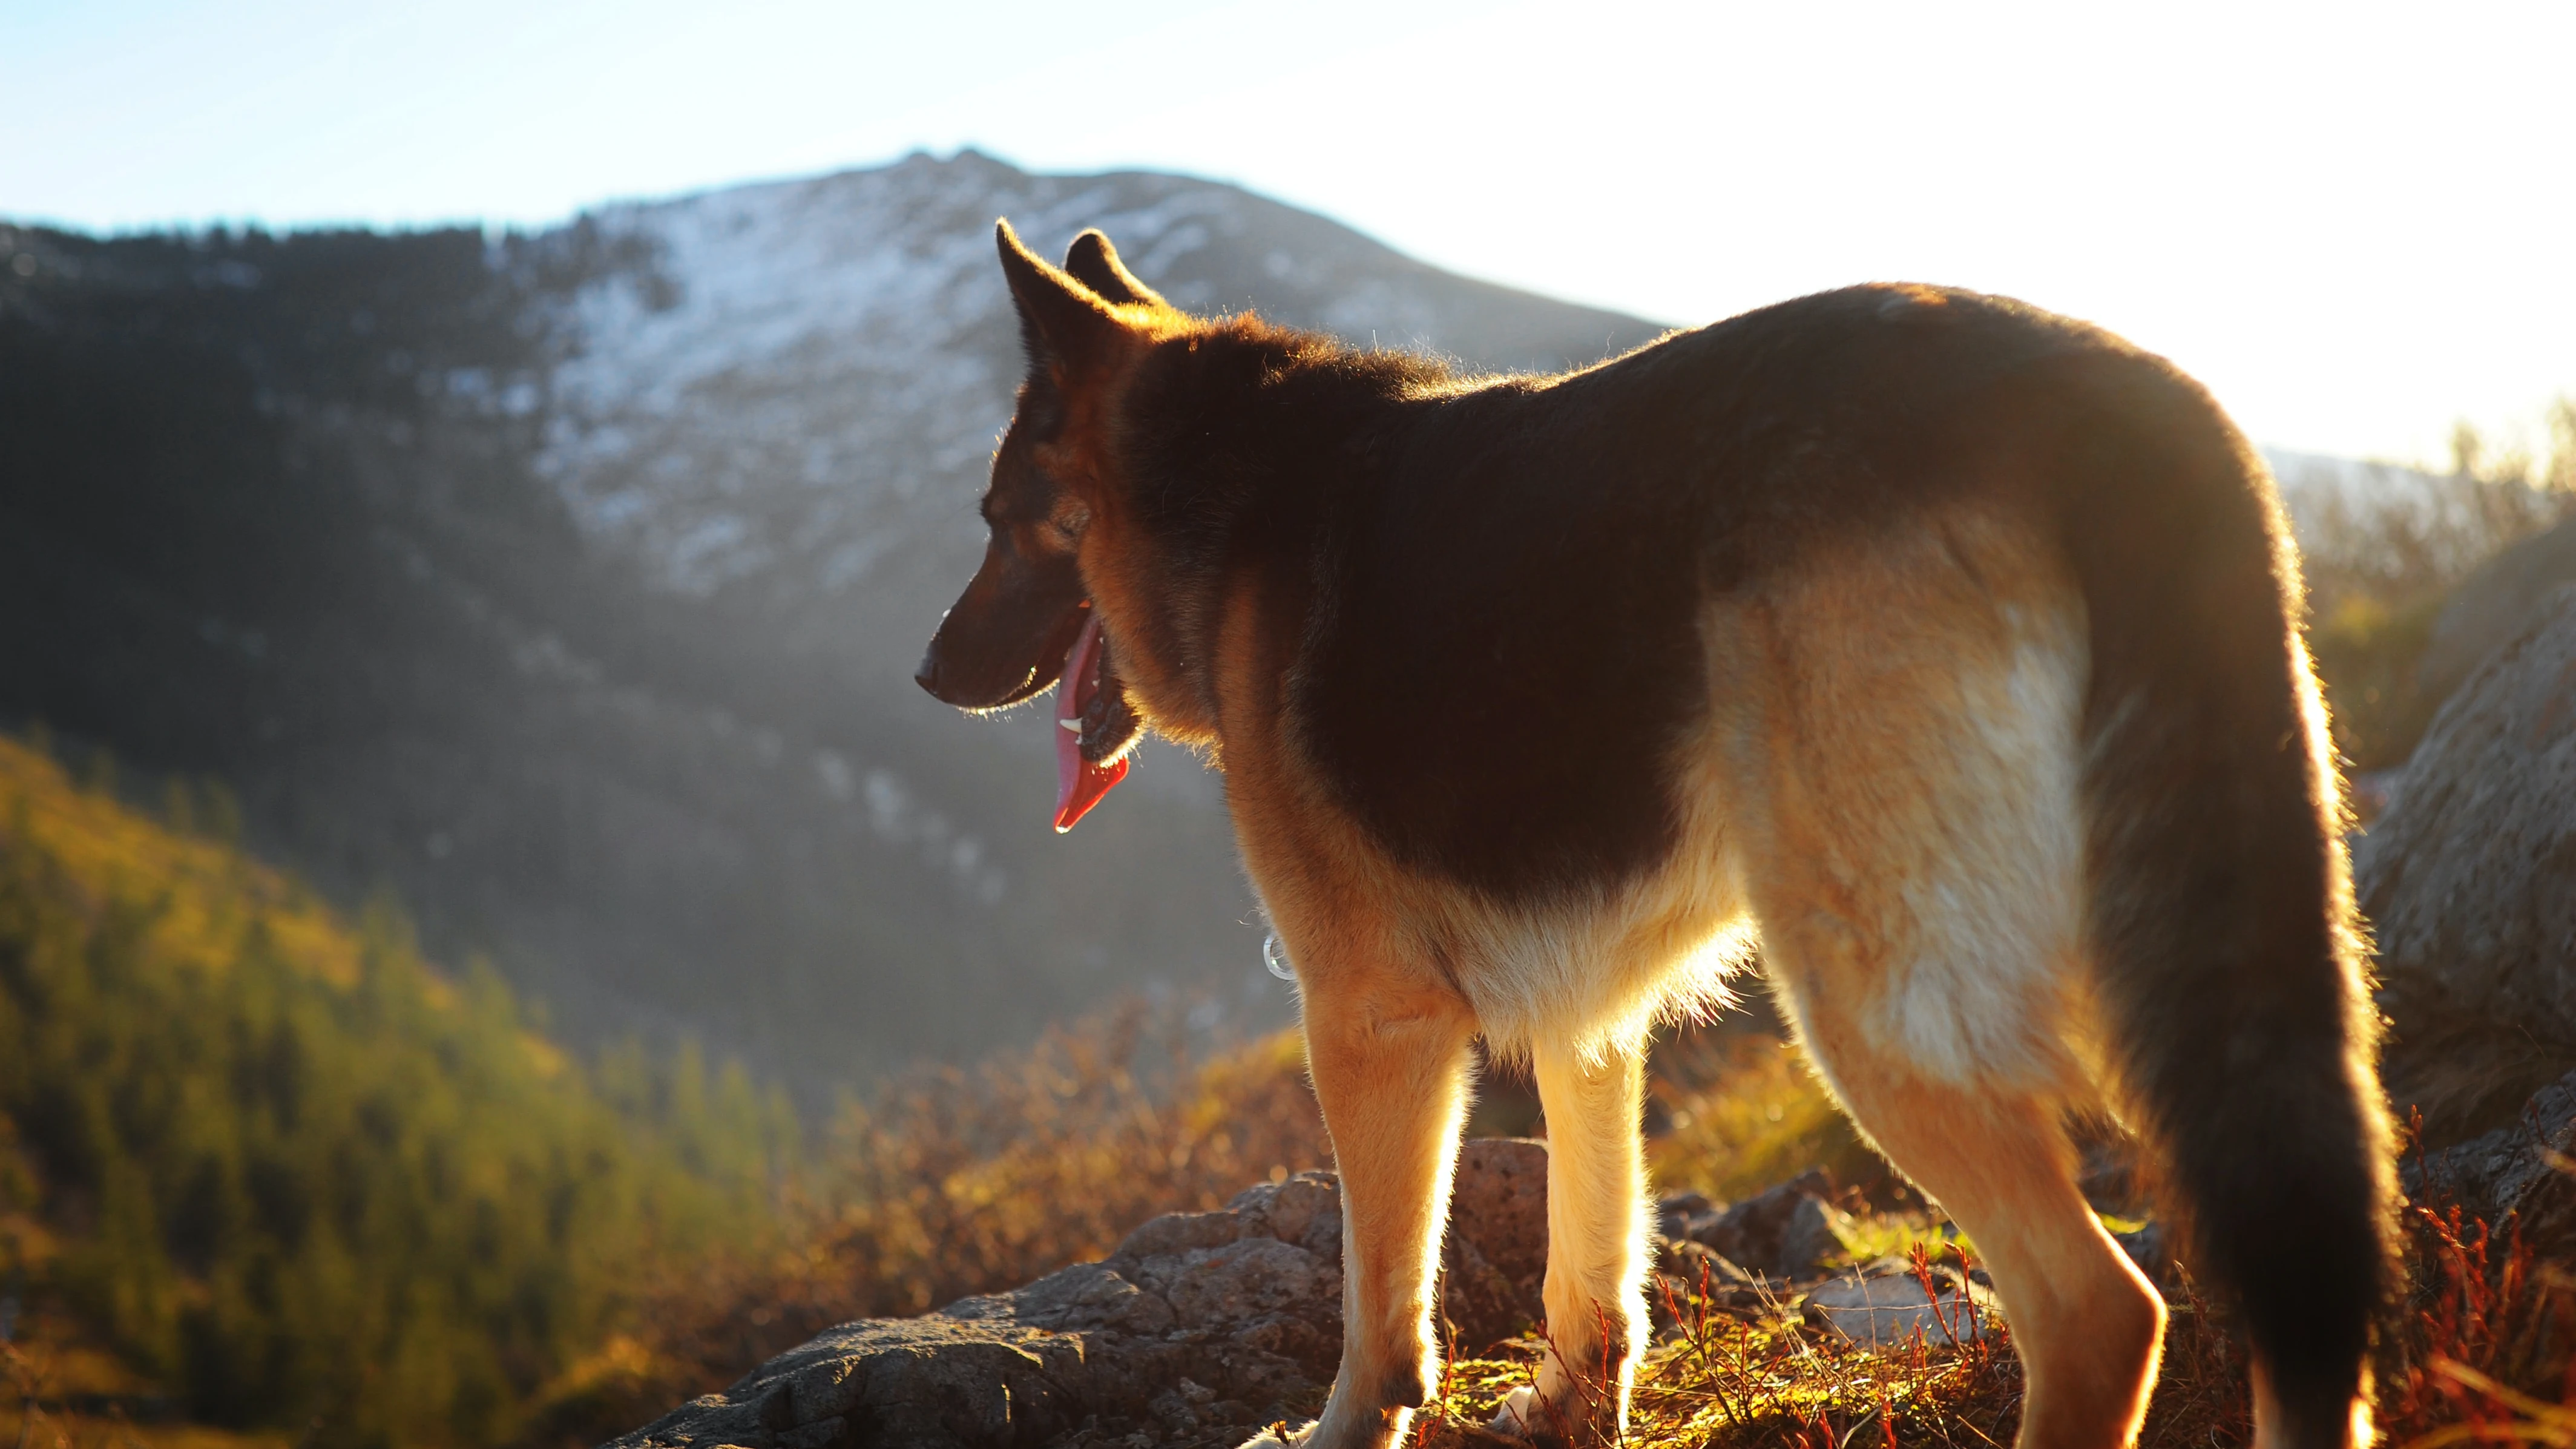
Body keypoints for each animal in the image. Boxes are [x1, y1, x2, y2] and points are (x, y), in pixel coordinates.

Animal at [922, 216, 2390, 1444]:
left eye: (996, 522)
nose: (929, 675)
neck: (1229, 492)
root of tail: (2120, 405)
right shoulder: (1591, 1007)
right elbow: (1591, 1247)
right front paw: (1569, 1404)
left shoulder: (1369, 1017)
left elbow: (1379, 1316)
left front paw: (1351, 1424)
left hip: (1873, 993)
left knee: (2100, 1312)